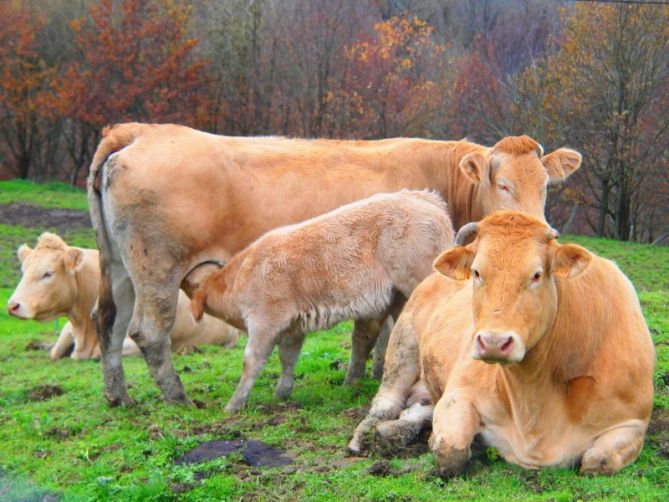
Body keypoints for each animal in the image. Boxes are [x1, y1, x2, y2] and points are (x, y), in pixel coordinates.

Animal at [187, 190, 454, 414]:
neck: (242, 274)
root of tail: (427, 198)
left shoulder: (265, 320)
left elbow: (251, 360)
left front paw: (233, 405)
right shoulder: (293, 327)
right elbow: (288, 359)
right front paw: (281, 395)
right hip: (400, 297)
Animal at [352, 211, 656, 474]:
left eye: (536, 275)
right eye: (476, 272)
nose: (494, 342)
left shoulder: (633, 422)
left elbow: (597, 461)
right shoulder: (459, 392)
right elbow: (450, 450)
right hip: (404, 342)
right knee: (387, 401)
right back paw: (365, 436)